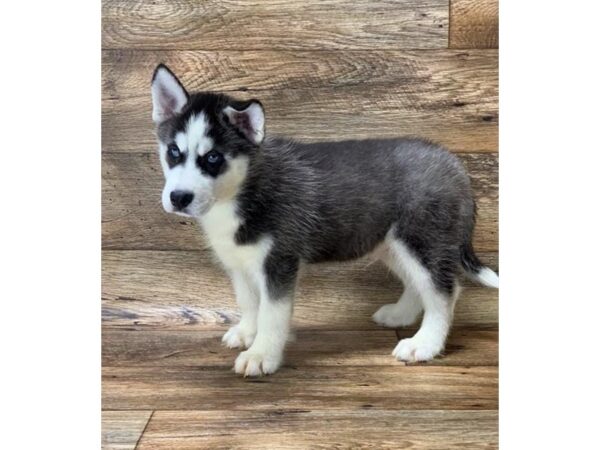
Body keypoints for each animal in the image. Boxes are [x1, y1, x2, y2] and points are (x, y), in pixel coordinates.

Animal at [152, 63, 500, 376]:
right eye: (173, 152)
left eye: (213, 158)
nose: (179, 198)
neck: (241, 191)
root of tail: (454, 163)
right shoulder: (239, 262)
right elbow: (250, 302)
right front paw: (247, 333)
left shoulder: (279, 263)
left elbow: (271, 314)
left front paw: (262, 354)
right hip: (392, 244)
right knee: (421, 284)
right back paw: (400, 315)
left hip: (421, 240)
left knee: (444, 291)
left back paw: (424, 344)